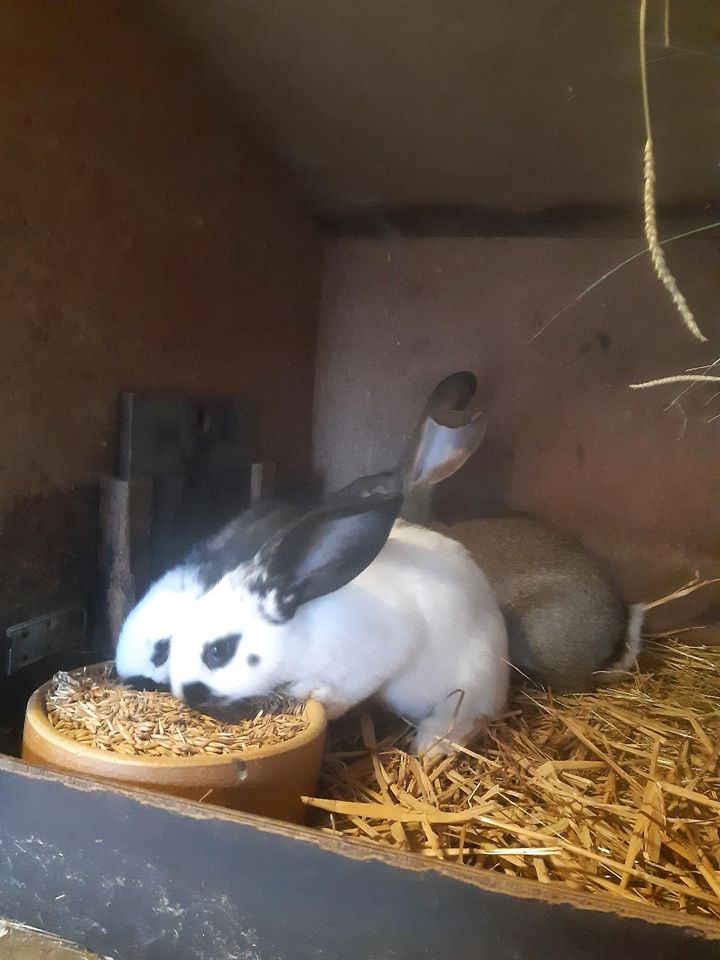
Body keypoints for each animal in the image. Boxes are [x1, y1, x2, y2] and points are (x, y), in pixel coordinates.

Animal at [167, 492, 512, 760]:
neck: (302, 635)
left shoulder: (383, 650)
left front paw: (309, 692)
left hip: (468, 683)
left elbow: (344, 692)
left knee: (464, 719)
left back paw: (429, 747)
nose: (183, 691)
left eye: (218, 650)